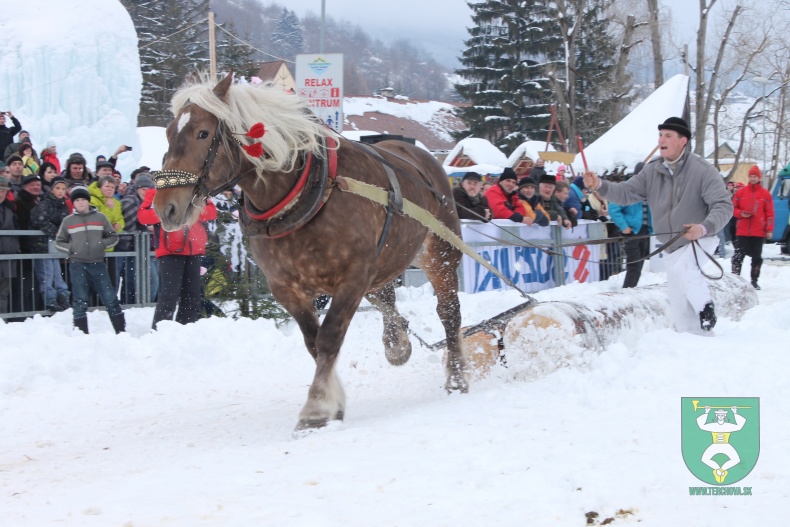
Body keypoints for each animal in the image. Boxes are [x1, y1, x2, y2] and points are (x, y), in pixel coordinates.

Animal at [155, 72, 470, 432]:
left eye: (203, 133)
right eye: (168, 133)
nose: (165, 207)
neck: (304, 191)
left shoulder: (352, 278)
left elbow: (329, 337)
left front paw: (316, 406)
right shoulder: (286, 288)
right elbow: (313, 342)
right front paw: (333, 399)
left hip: (440, 254)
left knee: (449, 313)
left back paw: (457, 376)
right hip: (386, 261)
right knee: (387, 299)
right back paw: (397, 343)